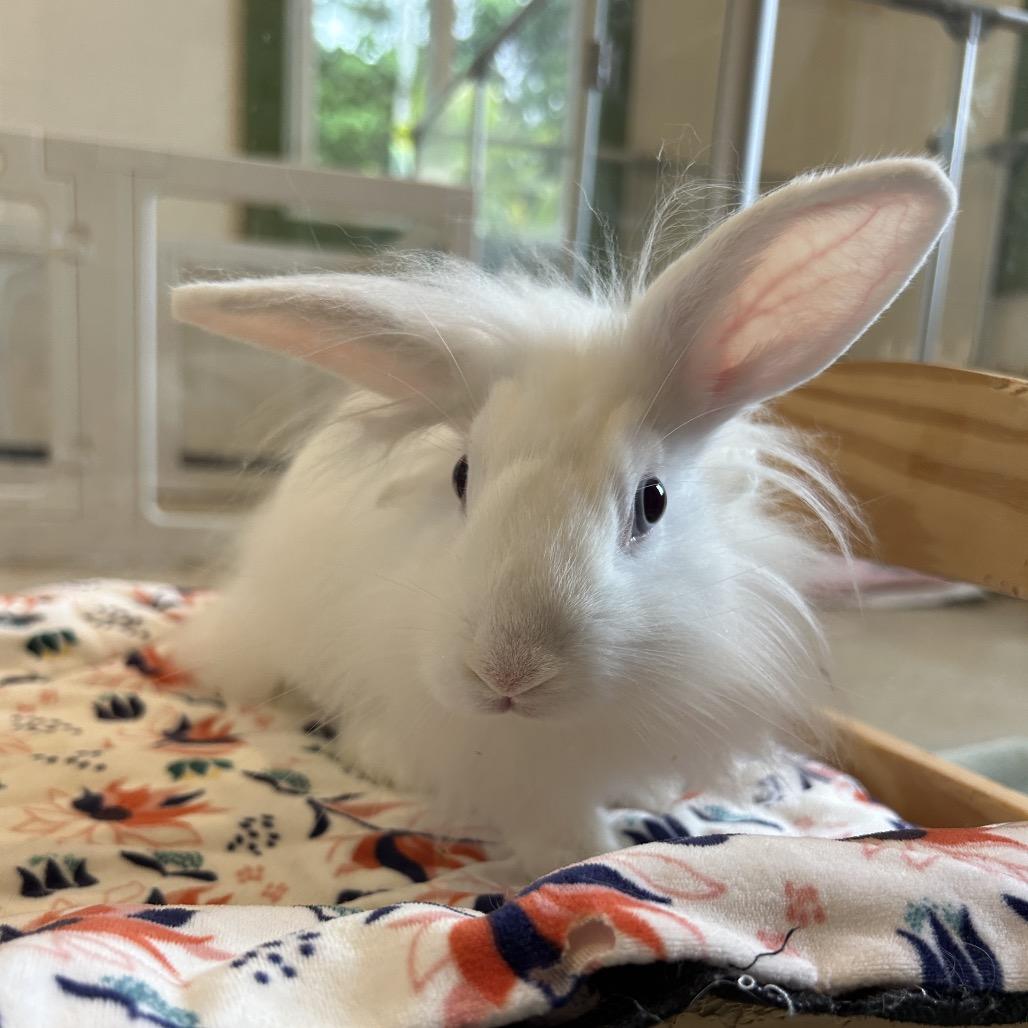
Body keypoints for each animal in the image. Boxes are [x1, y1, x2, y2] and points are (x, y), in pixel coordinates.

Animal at [171, 159, 955, 878]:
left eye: (653, 500)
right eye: (460, 475)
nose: (508, 672)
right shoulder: (518, 766)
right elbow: (550, 818)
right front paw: (578, 855)